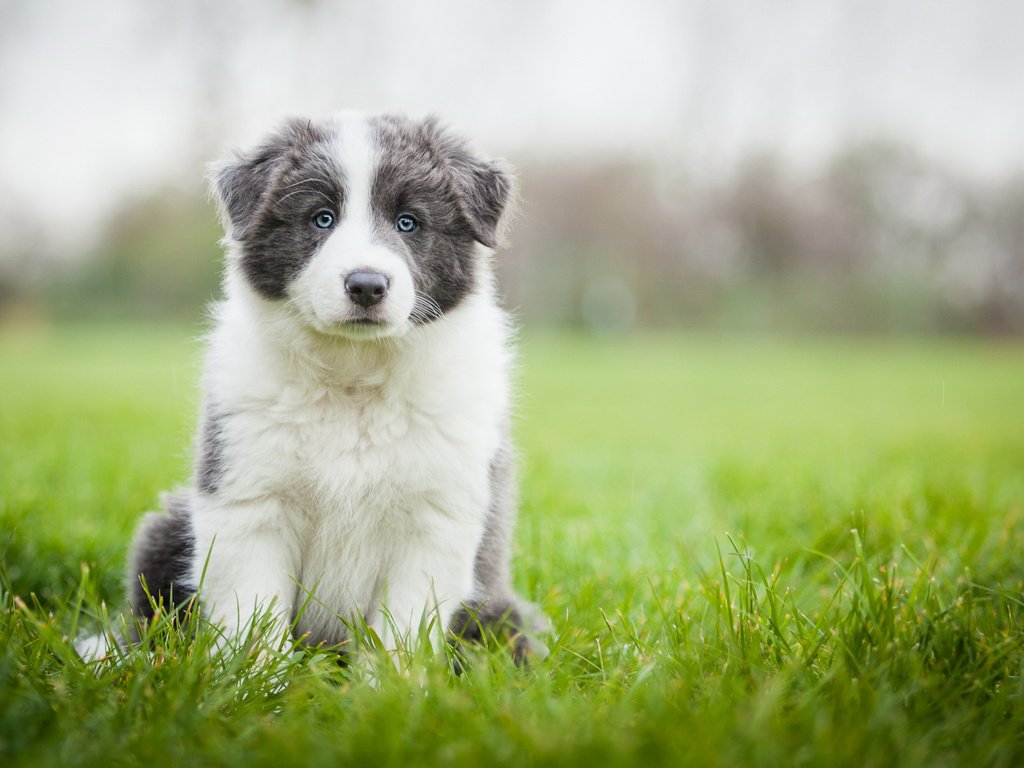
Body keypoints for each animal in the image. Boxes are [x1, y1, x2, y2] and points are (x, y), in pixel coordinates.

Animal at [78, 111, 540, 663]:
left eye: (409, 222)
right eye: (322, 218)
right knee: (152, 623)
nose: (367, 285)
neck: (353, 379)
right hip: (168, 530)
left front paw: (391, 683)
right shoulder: (249, 501)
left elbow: (402, 631)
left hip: (499, 615)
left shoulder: (435, 519)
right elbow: (251, 617)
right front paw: (256, 679)